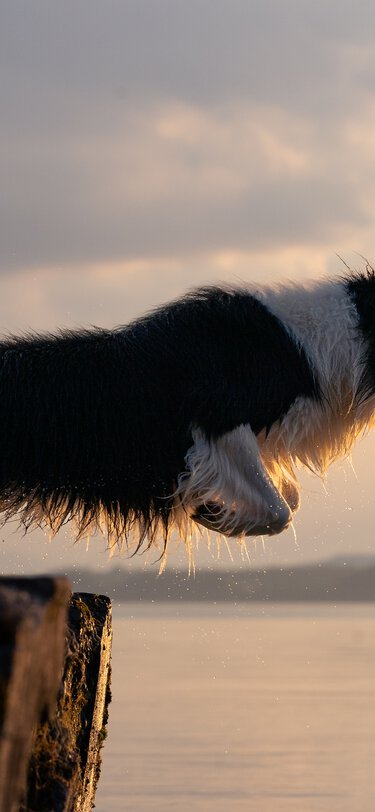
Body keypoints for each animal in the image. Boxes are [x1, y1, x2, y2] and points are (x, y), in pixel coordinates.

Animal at [0, 270, 374, 556]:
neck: (309, 346)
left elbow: (289, 499)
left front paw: (218, 512)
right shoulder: (220, 422)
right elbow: (280, 509)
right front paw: (214, 514)